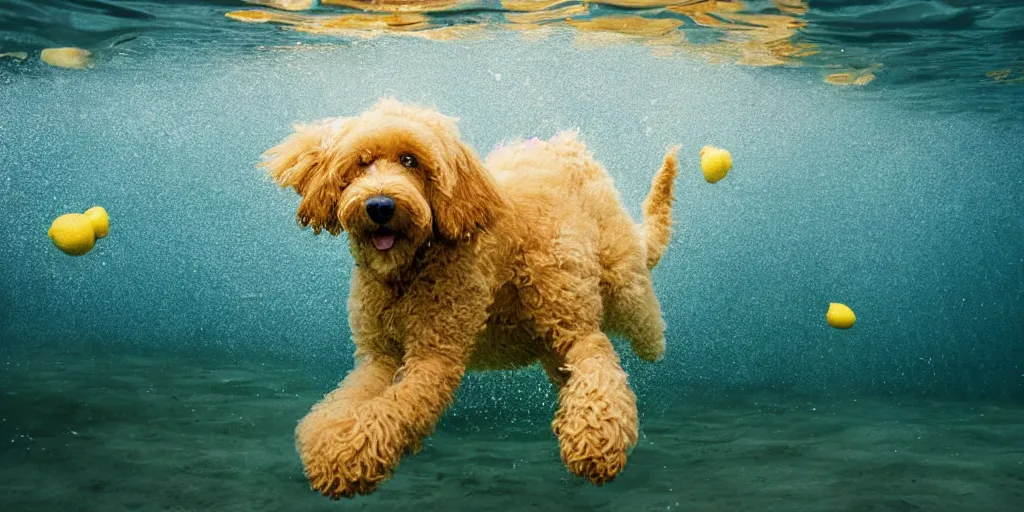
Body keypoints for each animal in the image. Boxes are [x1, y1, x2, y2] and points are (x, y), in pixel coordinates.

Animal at [260, 97, 675, 497]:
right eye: (361, 163)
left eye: (410, 160)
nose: (379, 206)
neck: (407, 273)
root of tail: (571, 152)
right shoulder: (378, 357)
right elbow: (346, 402)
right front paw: (328, 445)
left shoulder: (433, 358)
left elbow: (395, 408)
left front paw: (346, 459)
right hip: (552, 323)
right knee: (578, 354)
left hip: (602, 288)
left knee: (600, 346)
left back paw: (599, 434)